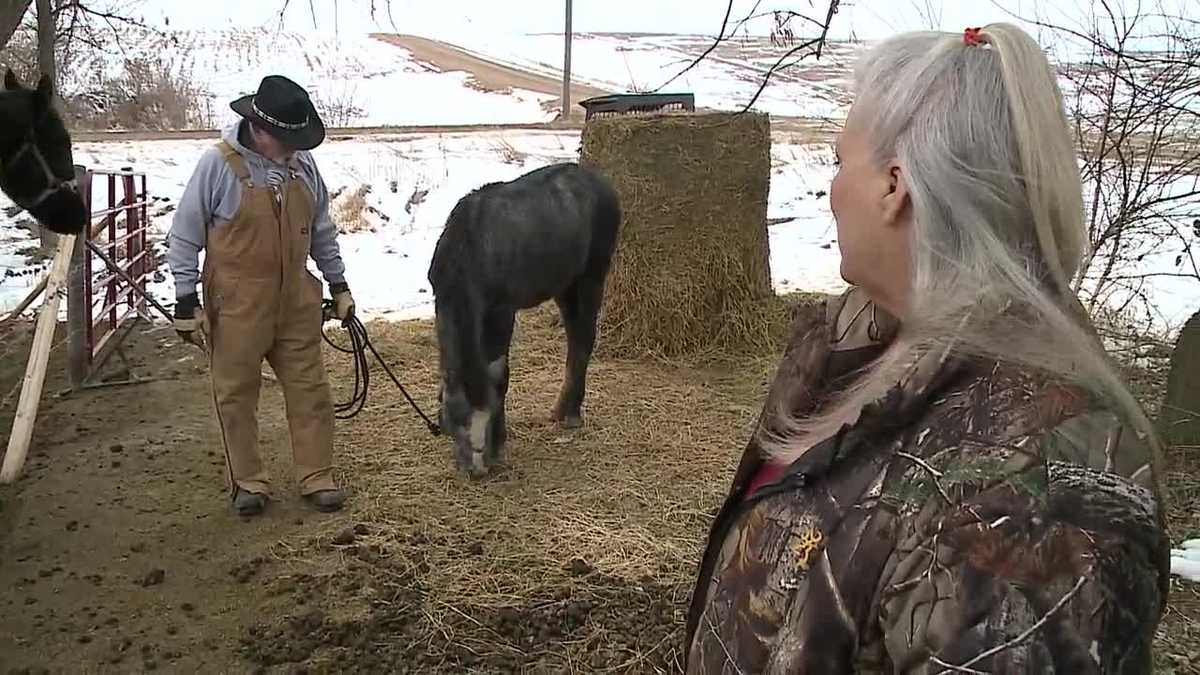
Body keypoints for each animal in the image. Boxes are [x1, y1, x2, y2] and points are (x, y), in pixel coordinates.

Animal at [428, 161, 621, 478]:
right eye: (457, 417)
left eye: (486, 415)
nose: (477, 469)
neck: (468, 251)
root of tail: (602, 182)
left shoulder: (502, 311)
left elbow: (499, 374)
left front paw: (498, 446)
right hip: (565, 285)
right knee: (574, 338)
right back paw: (561, 408)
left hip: (592, 275)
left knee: (584, 339)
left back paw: (571, 414)